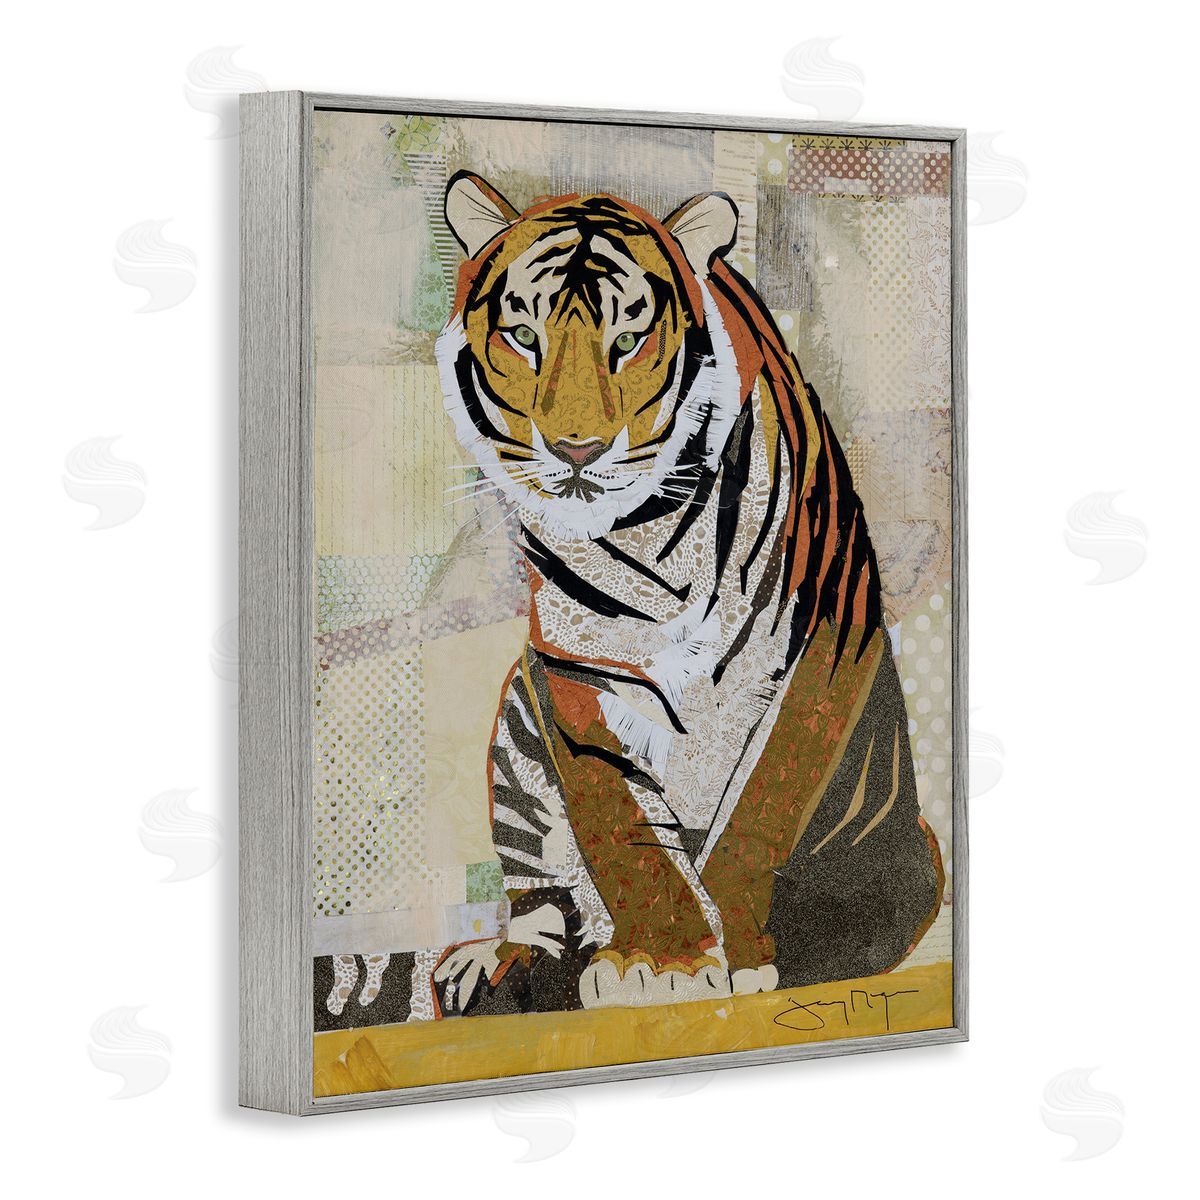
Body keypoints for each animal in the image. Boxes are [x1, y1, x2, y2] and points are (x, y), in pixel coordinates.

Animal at [430, 171, 944, 1017]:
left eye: (627, 341)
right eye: (524, 336)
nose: (576, 450)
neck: (648, 538)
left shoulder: (820, 641)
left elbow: (759, 807)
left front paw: (741, 955)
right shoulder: (573, 668)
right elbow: (620, 821)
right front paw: (659, 960)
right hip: (516, 729)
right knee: (547, 902)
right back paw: (500, 967)